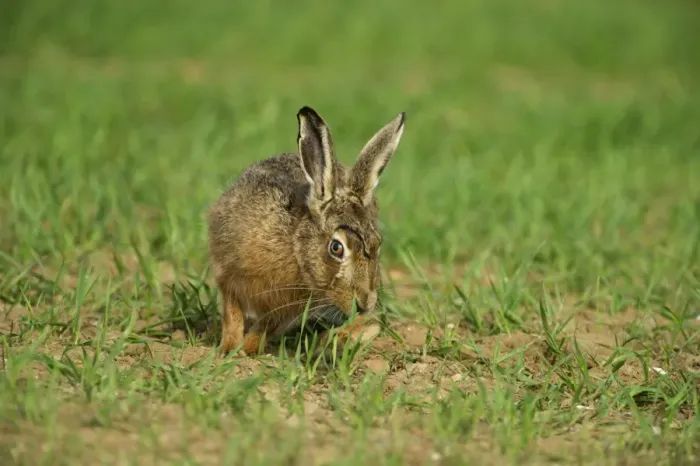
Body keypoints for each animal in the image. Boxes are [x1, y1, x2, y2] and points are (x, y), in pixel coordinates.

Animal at [207, 106, 405, 355]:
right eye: (336, 248)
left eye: (377, 243)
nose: (364, 303)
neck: (294, 247)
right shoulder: (228, 275)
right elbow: (232, 315)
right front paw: (229, 349)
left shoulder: (289, 307)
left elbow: (265, 326)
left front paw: (248, 349)